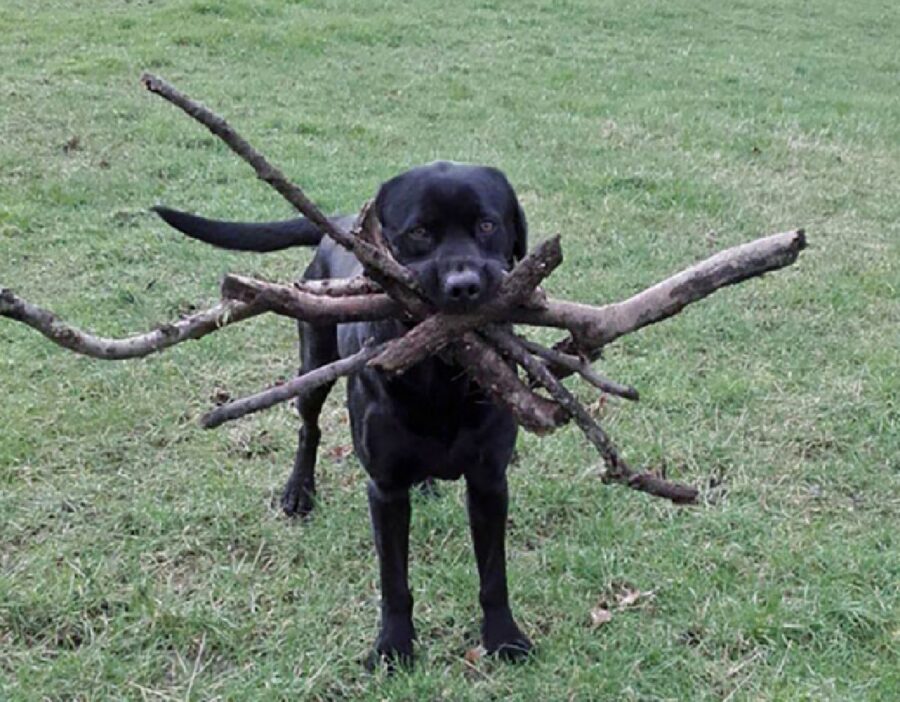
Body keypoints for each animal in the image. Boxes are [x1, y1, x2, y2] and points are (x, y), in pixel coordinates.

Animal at [155, 162, 536, 668]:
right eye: (419, 232)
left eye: (488, 225)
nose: (464, 286)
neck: (439, 376)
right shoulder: (386, 489)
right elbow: (394, 581)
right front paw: (393, 647)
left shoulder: (489, 481)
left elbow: (493, 574)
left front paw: (504, 639)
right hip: (313, 365)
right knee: (309, 428)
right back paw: (299, 492)